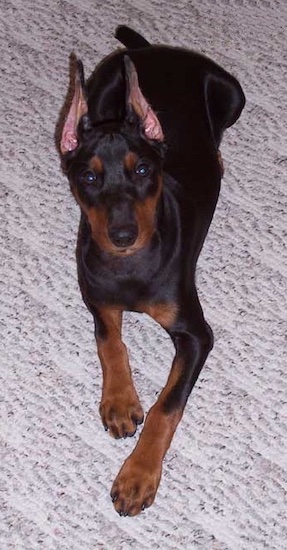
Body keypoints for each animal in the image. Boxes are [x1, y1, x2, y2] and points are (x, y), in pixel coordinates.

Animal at [60, 25, 245, 516]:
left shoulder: (196, 334)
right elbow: (109, 341)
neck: (129, 266)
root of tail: (153, 51)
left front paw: (137, 477)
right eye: (89, 178)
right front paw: (120, 402)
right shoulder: (97, 296)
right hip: (102, 86)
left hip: (233, 95)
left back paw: (219, 156)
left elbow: (168, 405)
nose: (123, 234)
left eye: (143, 170)